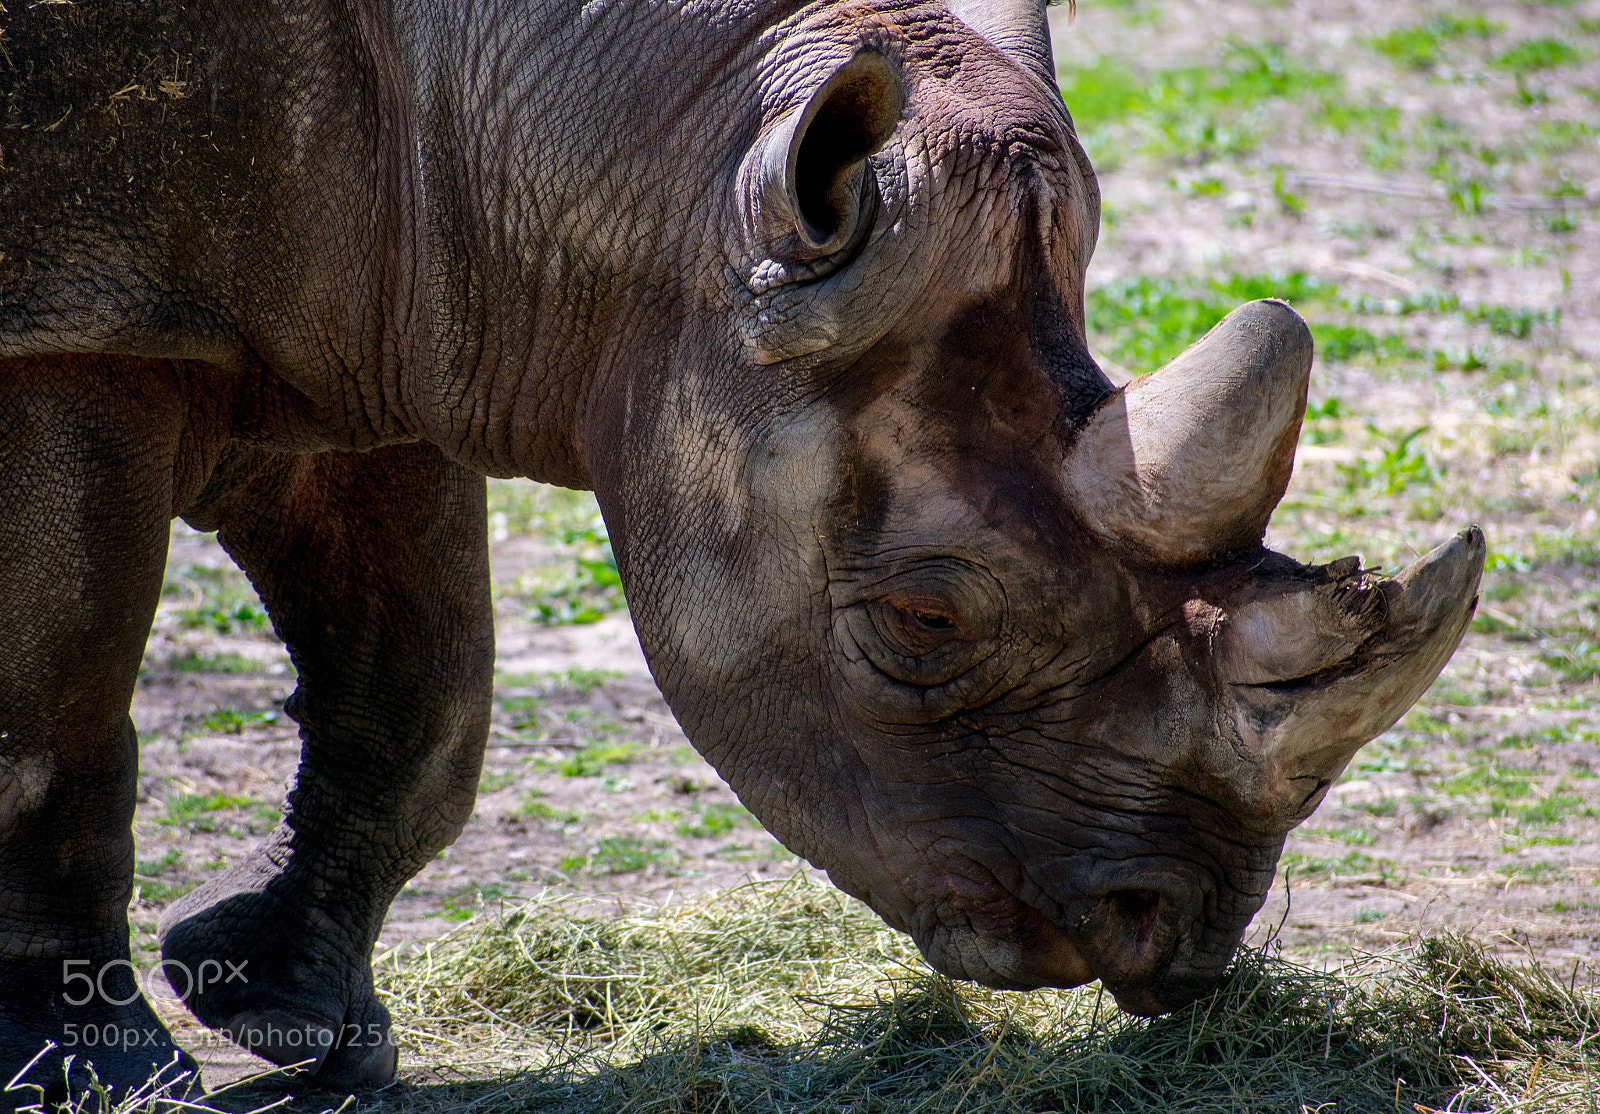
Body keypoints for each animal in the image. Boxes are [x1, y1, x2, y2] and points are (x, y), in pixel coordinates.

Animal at [0, 0, 1482, 1101]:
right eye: (924, 622)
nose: (1177, 933)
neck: (648, 146)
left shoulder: (391, 307)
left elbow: (425, 699)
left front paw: (296, 1023)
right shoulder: (72, 323)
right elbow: (55, 719)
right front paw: (99, 1077)